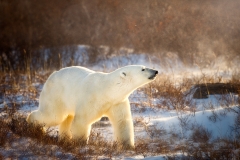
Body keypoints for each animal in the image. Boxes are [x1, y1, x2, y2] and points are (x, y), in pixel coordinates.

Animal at [26, 64, 158, 148]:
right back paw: (33, 125)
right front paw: (80, 143)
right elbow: (81, 120)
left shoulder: (117, 102)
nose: (156, 71)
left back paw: (64, 139)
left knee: (66, 118)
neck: (107, 90)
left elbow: (122, 122)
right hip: (56, 94)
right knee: (53, 115)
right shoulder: (91, 97)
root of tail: (52, 74)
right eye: (143, 69)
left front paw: (128, 146)